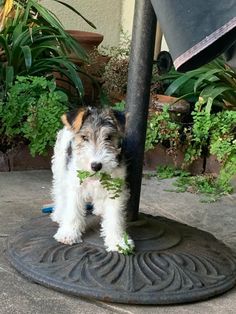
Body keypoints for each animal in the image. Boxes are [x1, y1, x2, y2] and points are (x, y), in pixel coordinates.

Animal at [50, 108, 134, 253]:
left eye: (108, 137)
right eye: (84, 137)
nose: (96, 165)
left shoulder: (114, 190)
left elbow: (115, 218)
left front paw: (118, 242)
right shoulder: (75, 187)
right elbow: (72, 211)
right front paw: (68, 234)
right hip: (60, 170)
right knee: (59, 194)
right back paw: (59, 214)